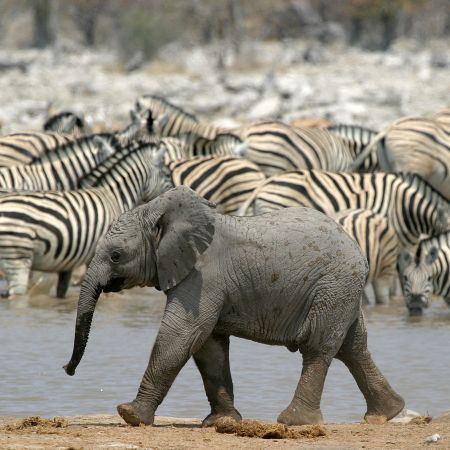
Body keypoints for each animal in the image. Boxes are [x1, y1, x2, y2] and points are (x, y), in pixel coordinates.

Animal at [0, 139, 171, 298]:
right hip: (18, 256)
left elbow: (61, 291)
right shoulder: (105, 253)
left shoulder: (67, 262)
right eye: (167, 174)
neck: (113, 195)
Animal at [64, 185, 404, 426]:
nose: (67, 370)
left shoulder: (203, 276)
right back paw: (385, 414)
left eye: (116, 256)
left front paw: (130, 415)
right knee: (353, 347)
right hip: (343, 290)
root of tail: (357, 249)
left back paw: (295, 422)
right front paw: (222, 421)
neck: (159, 210)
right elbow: (207, 346)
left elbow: (181, 335)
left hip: (332, 287)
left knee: (318, 348)